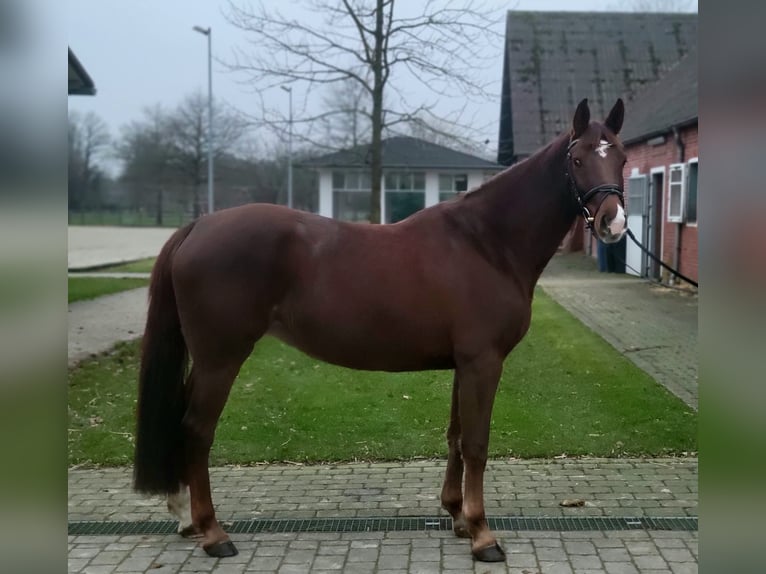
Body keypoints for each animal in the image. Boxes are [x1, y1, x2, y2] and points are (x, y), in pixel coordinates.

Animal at [135, 99, 632, 564]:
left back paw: (183, 516)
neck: (486, 242)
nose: (614, 223)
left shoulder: (464, 363)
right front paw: (482, 535)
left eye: (622, 157)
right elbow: (476, 443)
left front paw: (457, 516)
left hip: (208, 359)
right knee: (197, 429)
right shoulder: (484, 361)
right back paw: (213, 532)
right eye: (578, 159)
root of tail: (199, 224)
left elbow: (455, 436)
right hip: (221, 358)